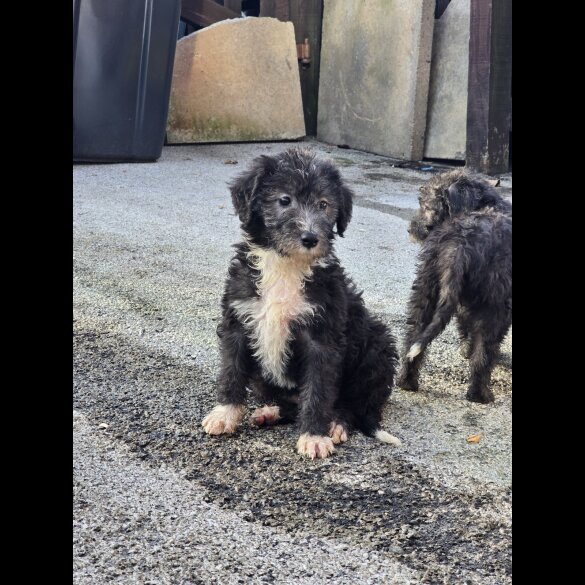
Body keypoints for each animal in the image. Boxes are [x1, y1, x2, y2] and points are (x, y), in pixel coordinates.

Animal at [200, 148, 396, 458]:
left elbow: (318, 390)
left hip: (378, 345)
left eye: (324, 204)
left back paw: (337, 423)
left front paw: (314, 435)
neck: (286, 266)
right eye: (284, 200)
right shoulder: (238, 322)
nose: (311, 238)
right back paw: (269, 412)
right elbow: (232, 371)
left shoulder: (323, 338)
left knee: (357, 403)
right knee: (291, 405)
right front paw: (225, 414)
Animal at [396, 169, 512, 402]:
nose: (410, 230)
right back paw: (480, 394)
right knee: (484, 351)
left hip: (426, 285)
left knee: (414, 331)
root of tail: (461, 243)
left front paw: (465, 348)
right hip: (494, 302)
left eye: (426, 206)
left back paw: (406, 381)